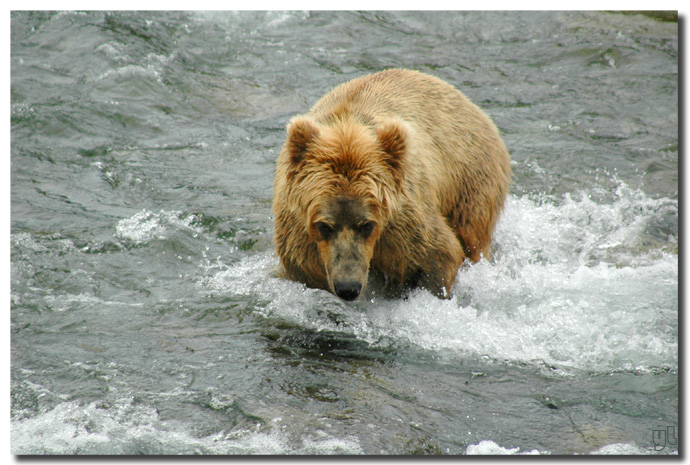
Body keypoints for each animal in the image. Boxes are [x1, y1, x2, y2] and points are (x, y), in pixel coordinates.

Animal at [272, 69, 508, 300]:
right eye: (325, 226)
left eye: (366, 224)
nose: (348, 287)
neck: (347, 129)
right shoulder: (300, 235)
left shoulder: (403, 224)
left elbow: (439, 253)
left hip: (469, 180)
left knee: (471, 235)